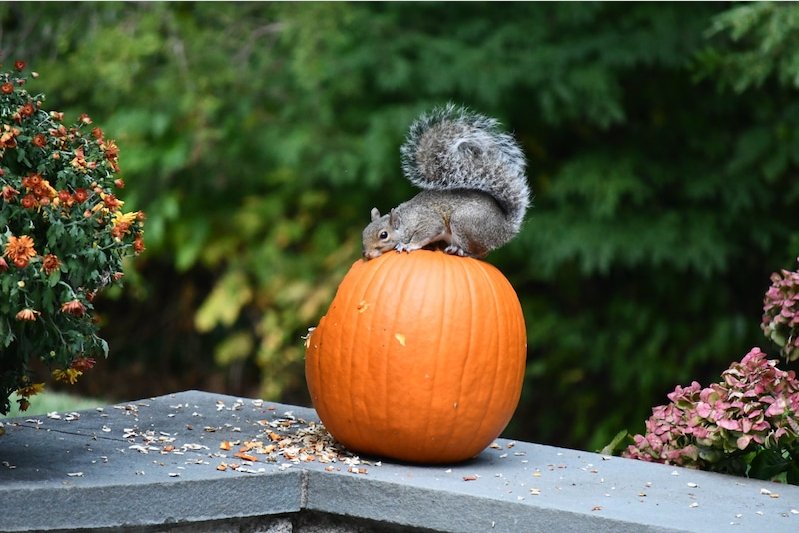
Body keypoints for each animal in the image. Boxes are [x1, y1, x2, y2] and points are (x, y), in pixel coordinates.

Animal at [364, 103, 532, 258]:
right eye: (364, 232)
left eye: (383, 235)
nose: (367, 254)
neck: (405, 219)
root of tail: (504, 229)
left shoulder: (429, 222)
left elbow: (425, 234)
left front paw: (408, 245)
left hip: (464, 222)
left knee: (477, 253)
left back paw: (459, 250)